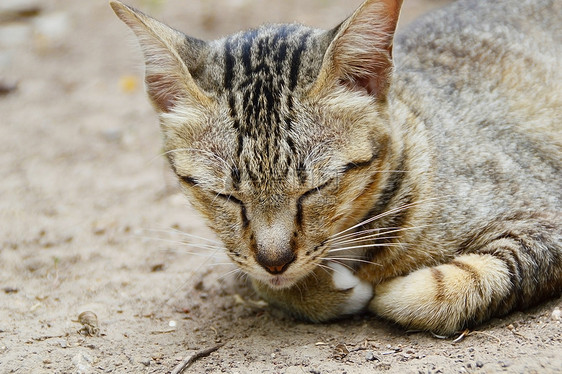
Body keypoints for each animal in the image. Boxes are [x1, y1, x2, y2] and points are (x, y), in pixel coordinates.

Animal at [110, 0, 560, 334]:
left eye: (316, 188)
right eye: (225, 195)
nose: (275, 260)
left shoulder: (546, 217)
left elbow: (462, 284)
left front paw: (389, 291)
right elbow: (262, 280)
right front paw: (320, 290)